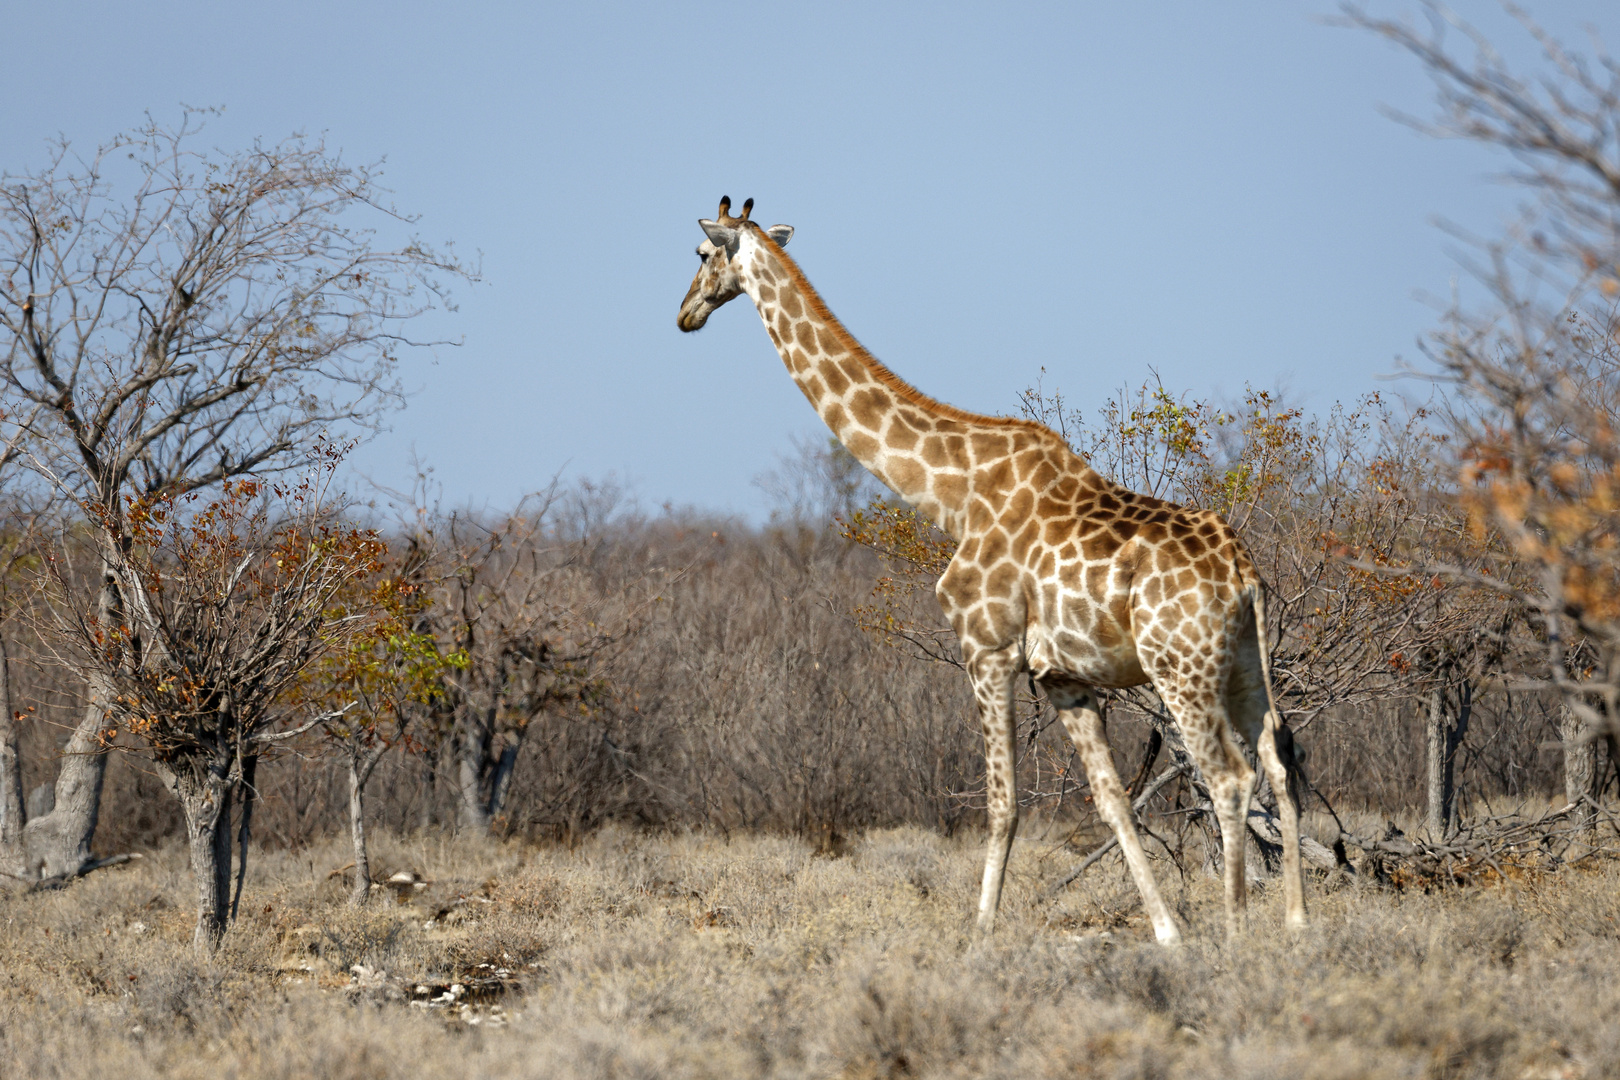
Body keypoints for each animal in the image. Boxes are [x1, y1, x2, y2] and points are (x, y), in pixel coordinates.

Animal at [677, 198, 1308, 939]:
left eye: (700, 253)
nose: (685, 312)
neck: (954, 494)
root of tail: (1243, 576)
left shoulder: (988, 648)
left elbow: (1002, 802)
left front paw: (980, 936)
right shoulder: (1063, 676)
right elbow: (1112, 801)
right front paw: (1167, 934)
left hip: (1180, 666)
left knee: (1229, 778)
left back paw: (1238, 938)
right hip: (1244, 665)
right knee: (1278, 762)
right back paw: (1298, 928)